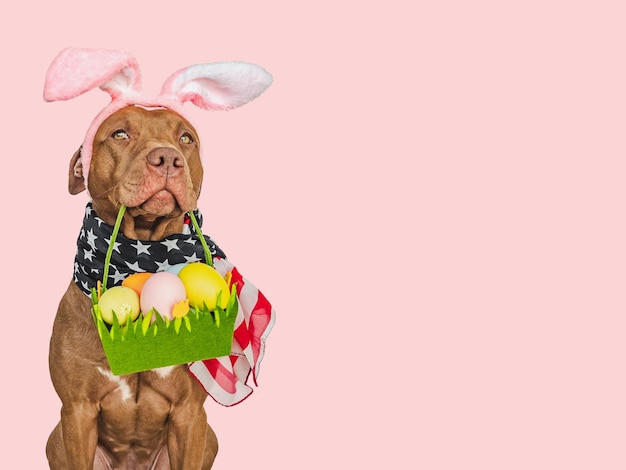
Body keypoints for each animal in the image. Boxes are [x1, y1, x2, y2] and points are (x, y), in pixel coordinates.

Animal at [46, 106, 217, 470]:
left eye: (186, 138)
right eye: (120, 134)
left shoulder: (190, 414)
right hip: (56, 439)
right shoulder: (77, 412)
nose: (168, 157)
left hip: (209, 436)